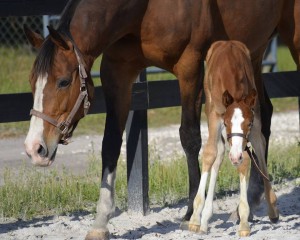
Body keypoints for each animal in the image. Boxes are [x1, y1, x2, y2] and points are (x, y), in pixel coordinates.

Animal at [190, 40, 278, 235]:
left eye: (248, 123)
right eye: (227, 122)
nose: (235, 156)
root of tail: (227, 42)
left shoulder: (253, 119)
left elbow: (247, 158)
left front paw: (244, 221)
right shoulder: (215, 116)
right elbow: (209, 155)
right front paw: (195, 219)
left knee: (258, 146)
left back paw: (272, 209)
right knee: (218, 155)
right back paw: (204, 217)